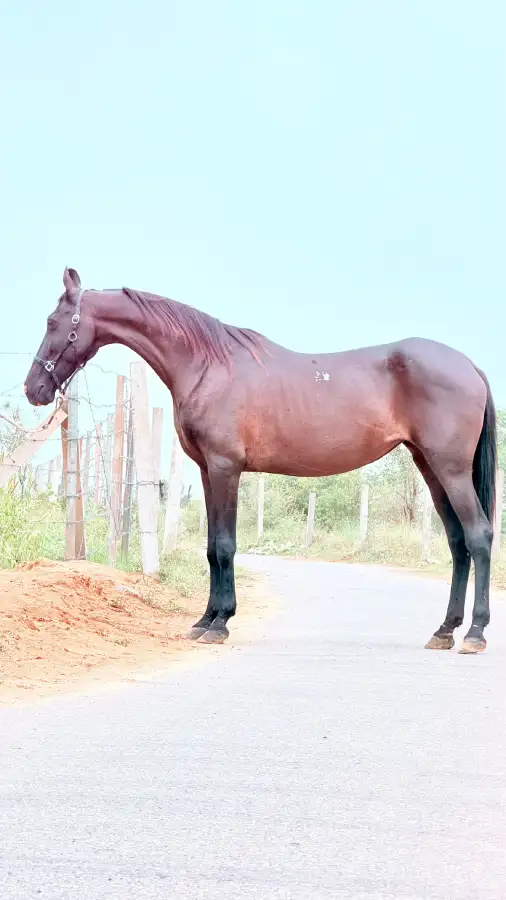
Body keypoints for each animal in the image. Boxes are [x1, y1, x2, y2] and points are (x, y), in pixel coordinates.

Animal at [24, 268, 497, 654]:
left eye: (52, 322)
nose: (34, 390)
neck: (207, 366)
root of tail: (471, 367)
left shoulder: (225, 468)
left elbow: (225, 546)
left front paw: (220, 624)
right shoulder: (206, 470)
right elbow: (211, 548)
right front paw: (204, 620)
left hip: (451, 470)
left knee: (479, 536)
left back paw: (474, 633)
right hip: (430, 469)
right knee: (457, 542)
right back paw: (444, 631)